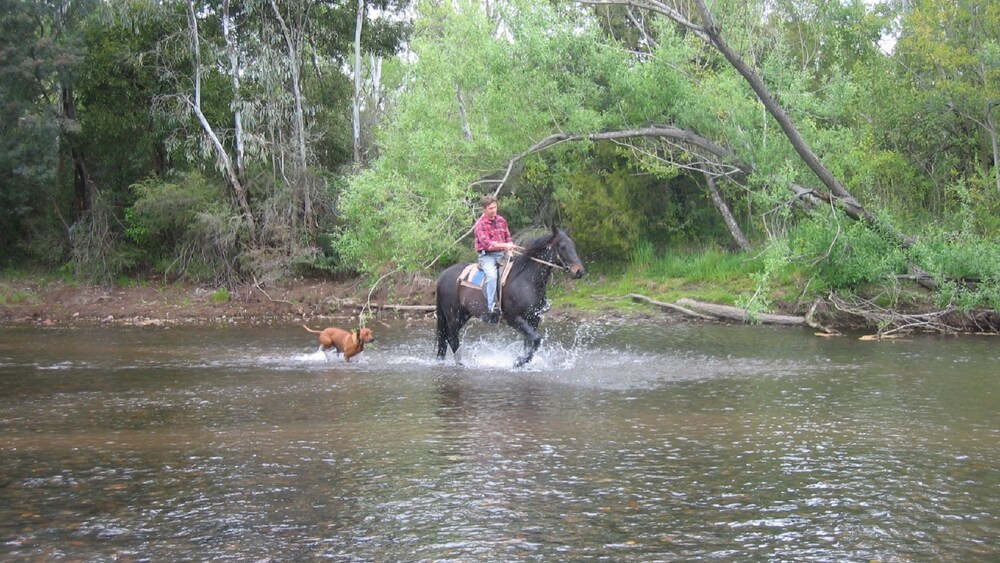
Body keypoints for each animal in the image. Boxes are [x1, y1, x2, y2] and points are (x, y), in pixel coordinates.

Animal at [432, 227, 584, 368]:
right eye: (562, 246)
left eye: (573, 246)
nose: (579, 271)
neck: (526, 280)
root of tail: (442, 275)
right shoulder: (513, 318)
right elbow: (536, 339)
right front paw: (518, 361)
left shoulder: (533, 318)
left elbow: (529, 342)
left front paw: (523, 362)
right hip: (453, 315)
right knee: (452, 338)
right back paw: (461, 363)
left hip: (463, 314)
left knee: (444, 337)